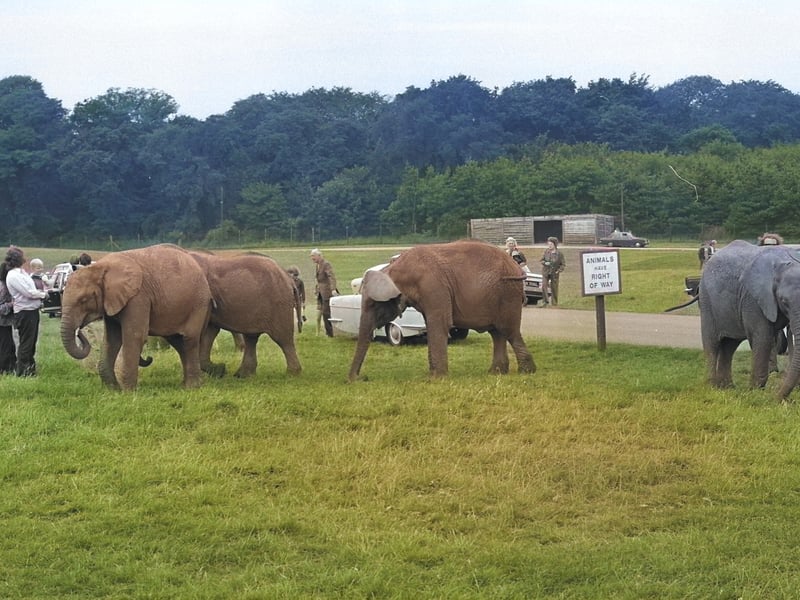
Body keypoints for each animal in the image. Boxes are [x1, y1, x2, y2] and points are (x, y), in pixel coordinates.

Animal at [60, 244, 213, 390]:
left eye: (83, 300)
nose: (79, 330)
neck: (101, 267)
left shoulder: (138, 297)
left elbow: (134, 336)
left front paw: (128, 392)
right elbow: (111, 340)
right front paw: (113, 390)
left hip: (198, 303)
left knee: (189, 340)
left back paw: (192, 387)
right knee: (177, 341)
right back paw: (187, 384)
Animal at [348, 239, 535, 381]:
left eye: (373, 305)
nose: (362, 378)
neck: (393, 269)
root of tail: (516, 266)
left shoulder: (433, 287)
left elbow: (439, 324)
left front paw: (435, 379)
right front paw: (434, 375)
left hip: (508, 293)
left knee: (509, 331)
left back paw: (526, 372)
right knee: (497, 333)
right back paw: (496, 373)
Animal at [699, 240, 800, 399]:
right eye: (784, 301)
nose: (776, 399)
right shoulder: (753, 299)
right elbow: (762, 337)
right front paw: (754, 393)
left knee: (730, 345)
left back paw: (727, 387)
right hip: (706, 300)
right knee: (712, 343)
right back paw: (712, 387)